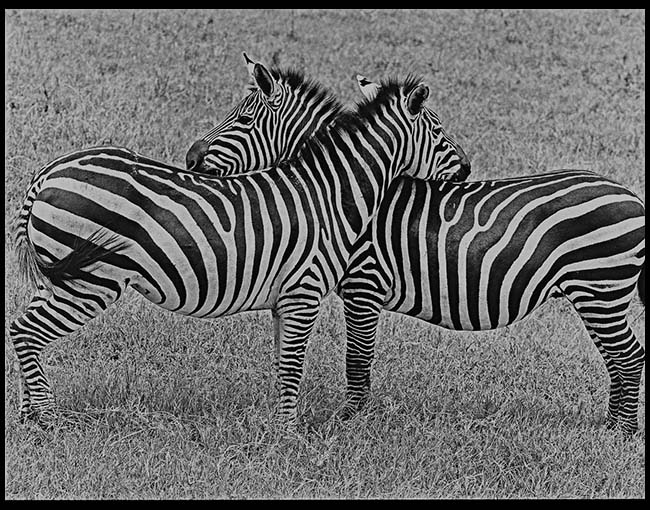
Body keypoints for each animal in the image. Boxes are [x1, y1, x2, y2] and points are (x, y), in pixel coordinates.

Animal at [11, 71, 466, 430]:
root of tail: (46, 175)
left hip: (58, 280)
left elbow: (284, 365)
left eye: (244, 118)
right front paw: (288, 435)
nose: (466, 169)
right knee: (27, 331)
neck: (329, 192)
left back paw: (28, 414)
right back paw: (47, 419)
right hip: (90, 282)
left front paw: (280, 423)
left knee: (19, 329)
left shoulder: (286, 300)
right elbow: (299, 364)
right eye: (439, 132)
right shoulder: (308, 292)